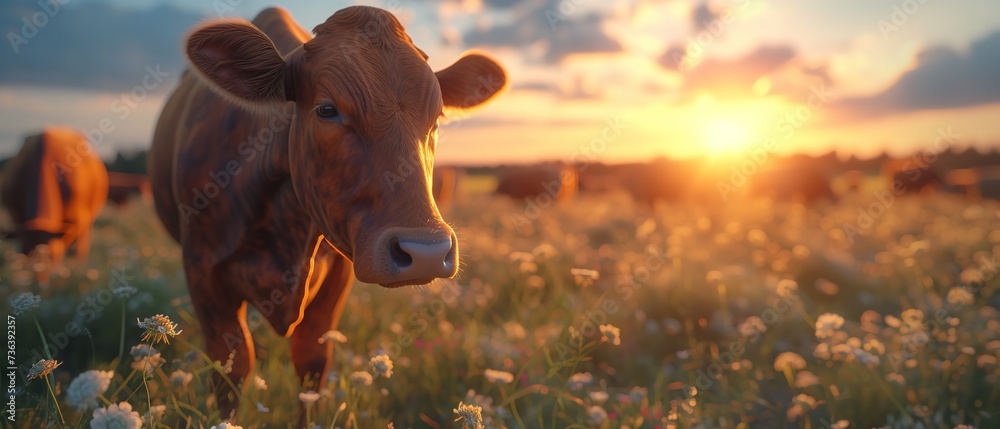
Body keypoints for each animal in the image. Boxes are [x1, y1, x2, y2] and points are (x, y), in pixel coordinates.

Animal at [148, 6, 505, 419]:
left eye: (437, 117)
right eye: (327, 110)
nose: (427, 253)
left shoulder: (338, 273)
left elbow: (311, 360)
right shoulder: (202, 269)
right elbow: (231, 367)